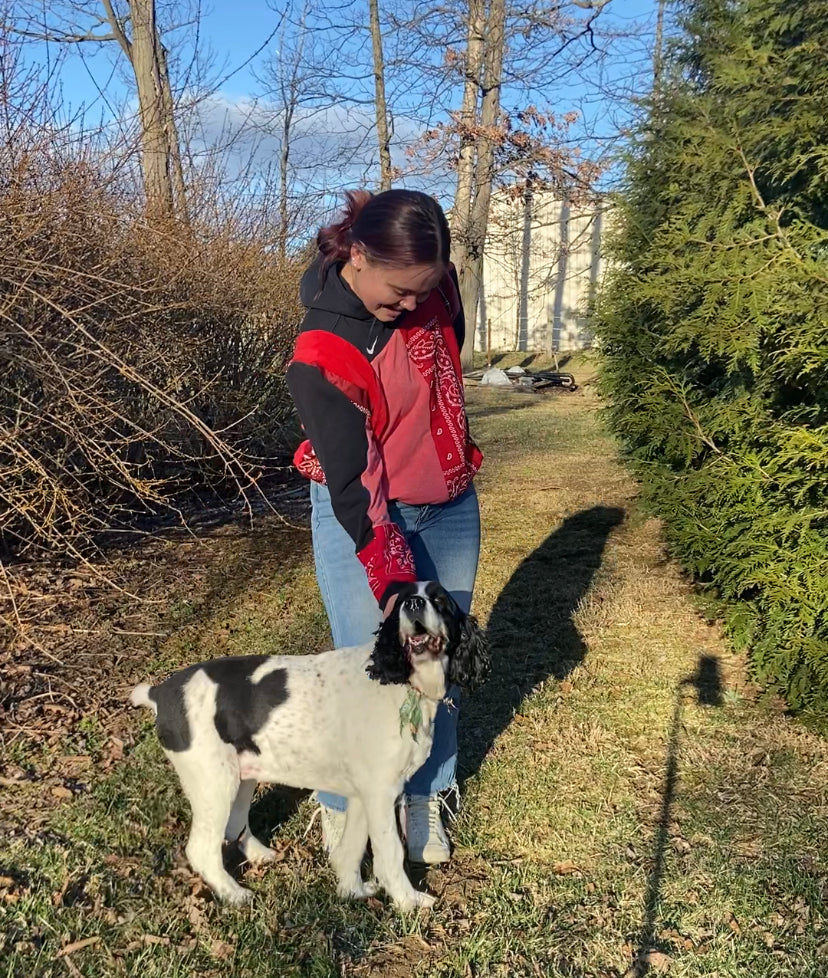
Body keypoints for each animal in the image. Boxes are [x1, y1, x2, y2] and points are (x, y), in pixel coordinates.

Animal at [129, 580, 488, 908]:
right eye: (402, 601)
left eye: (440, 601)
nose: (414, 604)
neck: (403, 684)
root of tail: (160, 693)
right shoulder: (381, 793)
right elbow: (390, 854)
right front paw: (408, 901)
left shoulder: (364, 795)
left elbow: (351, 848)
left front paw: (352, 891)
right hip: (214, 783)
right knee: (202, 848)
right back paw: (235, 894)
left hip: (242, 776)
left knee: (233, 825)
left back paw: (260, 855)